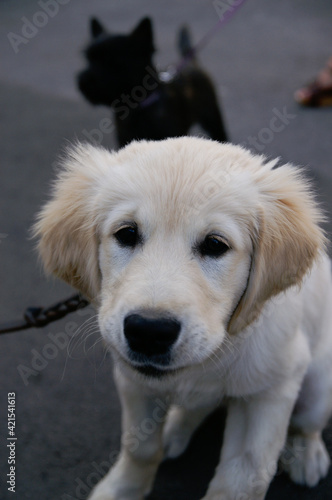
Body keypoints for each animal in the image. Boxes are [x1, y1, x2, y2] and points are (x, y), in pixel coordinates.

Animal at [34, 138, 332, 500]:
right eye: (126, 234)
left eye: (215, 244)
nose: (149, 332)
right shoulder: (133, 379)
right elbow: (139, 447)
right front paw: (122, 489)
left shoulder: (268, 391)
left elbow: (242, 479)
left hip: (318, 382)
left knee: (308, 424)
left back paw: (306, 454)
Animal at [76, 16, 227, 148]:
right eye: (88, 59)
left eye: (113, 61)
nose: (83, 81)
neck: (137, 109)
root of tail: (192, 64)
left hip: (214, 122)